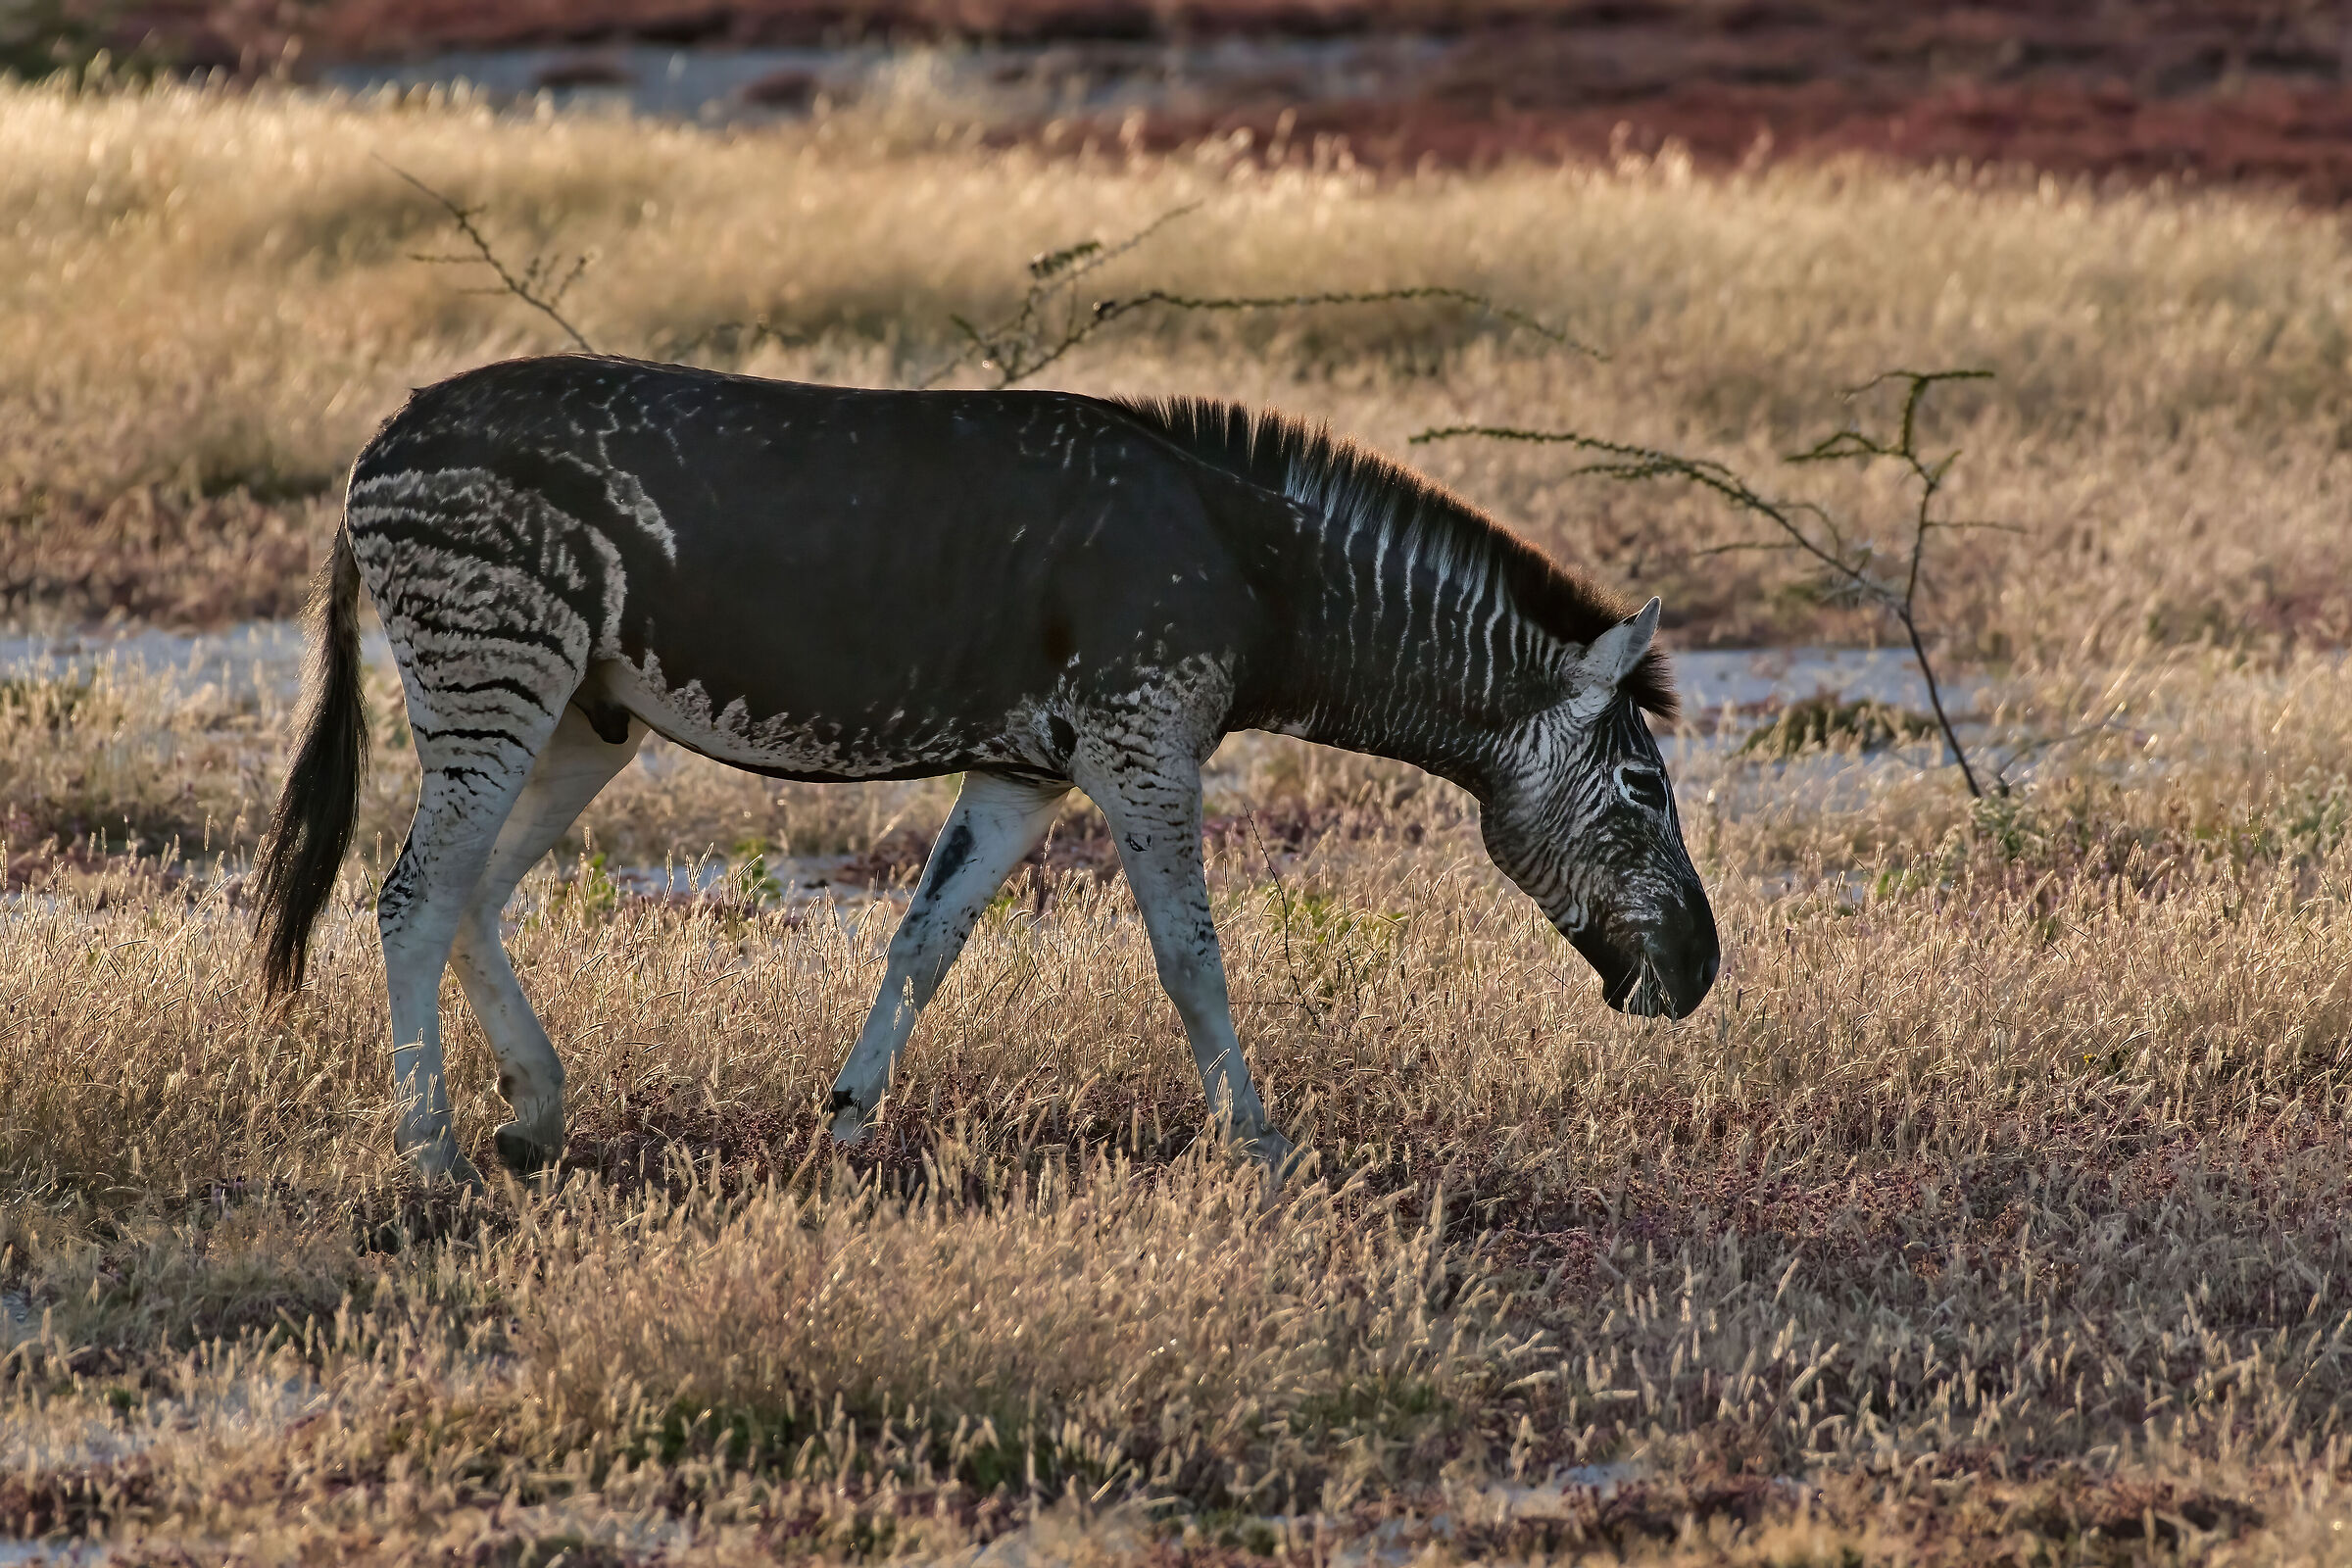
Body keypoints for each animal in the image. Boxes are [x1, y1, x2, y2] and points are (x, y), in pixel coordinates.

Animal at [254, 356, 1718, 1185]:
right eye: (1646, 792)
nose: (1702, 979)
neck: (1264, 574)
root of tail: (383, 436)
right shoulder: (1143, 742)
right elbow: (1191, 956)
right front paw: (1262, 1146)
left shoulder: (1032, 773)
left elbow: (926, 939)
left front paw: (846, 1128)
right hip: (493, 666)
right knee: (415, 898)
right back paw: (433, 1157)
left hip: (576, 712)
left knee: (473, 895)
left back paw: (533, 1117)